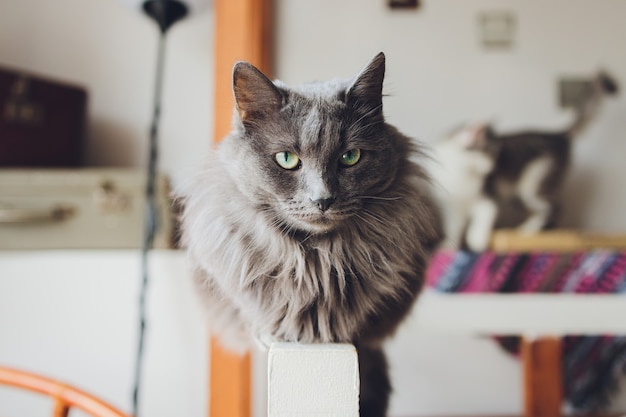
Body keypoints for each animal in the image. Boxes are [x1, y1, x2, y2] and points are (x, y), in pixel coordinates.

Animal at [426, 71, 616, 250]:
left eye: (494, 155)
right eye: (486, 154)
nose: (492, 167)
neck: (461, 170)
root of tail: (556, 135)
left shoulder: (488, 199)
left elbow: (480, 223)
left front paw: (477, 241)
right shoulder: (453, 208)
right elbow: (453, 229)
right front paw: (448, 245)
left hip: (533, 183)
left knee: (554, 207)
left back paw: (530, 229)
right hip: (519, 196)